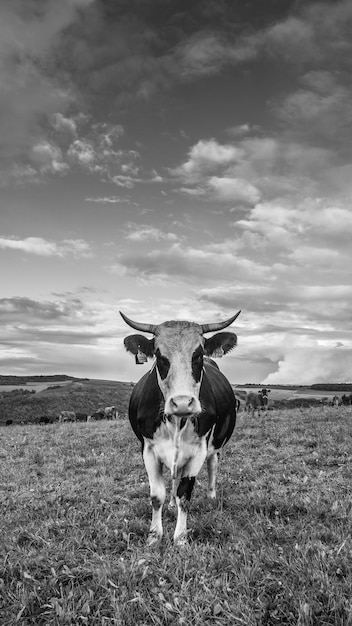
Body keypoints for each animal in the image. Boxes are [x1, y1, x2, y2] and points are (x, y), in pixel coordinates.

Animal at [119, 310, 241, 544]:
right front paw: (154, 535)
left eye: (198, 354)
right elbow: (157, 496)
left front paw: (181, 538)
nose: (183, 403)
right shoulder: (148, 449)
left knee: (212, 466)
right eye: (159, 356)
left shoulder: (198, 450)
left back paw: (211, 496)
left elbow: (185, 495)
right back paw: (171, 504)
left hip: (215, 445)